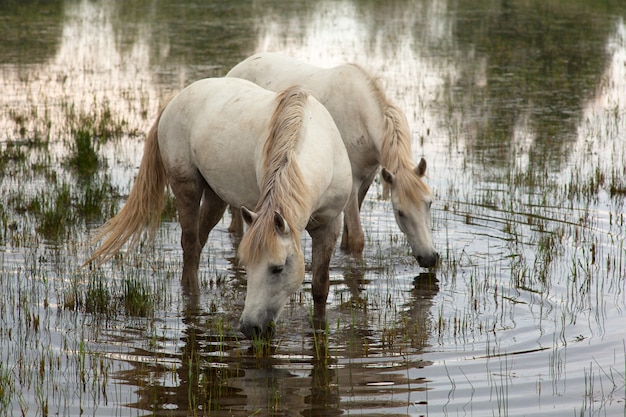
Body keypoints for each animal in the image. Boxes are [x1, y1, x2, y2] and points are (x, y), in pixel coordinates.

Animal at [84, 78, 352, 338]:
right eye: (247, 265)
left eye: (278, 268)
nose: (250, 328)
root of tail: (177, 98)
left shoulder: (329, 224)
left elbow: (320, 287)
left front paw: (319, 327)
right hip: (186, 187)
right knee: (191, 245)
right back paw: (192, 297)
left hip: (215, 198)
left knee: (198, 241)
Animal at [227, 52, 436, 266]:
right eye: (400, 212)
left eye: (429, 203)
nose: (429, 258)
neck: (361, 116)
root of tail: (237, 69)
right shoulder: (353, 184)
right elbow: (356, 238)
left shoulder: (367, 180)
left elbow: (347, 234)